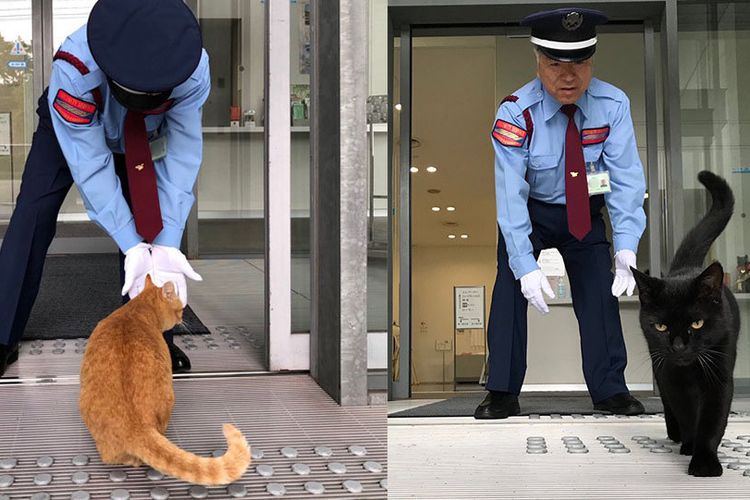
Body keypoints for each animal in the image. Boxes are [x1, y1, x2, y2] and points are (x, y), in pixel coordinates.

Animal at [636, 171, 740, 476]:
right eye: (660, 327)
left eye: (697, 323)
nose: (679, 347)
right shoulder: (672, 377)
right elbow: (686, 412)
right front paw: (691, 445)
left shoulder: (720, 375)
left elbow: (713, 420)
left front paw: (705, 462)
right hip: (657, 361)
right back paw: (677, 435)